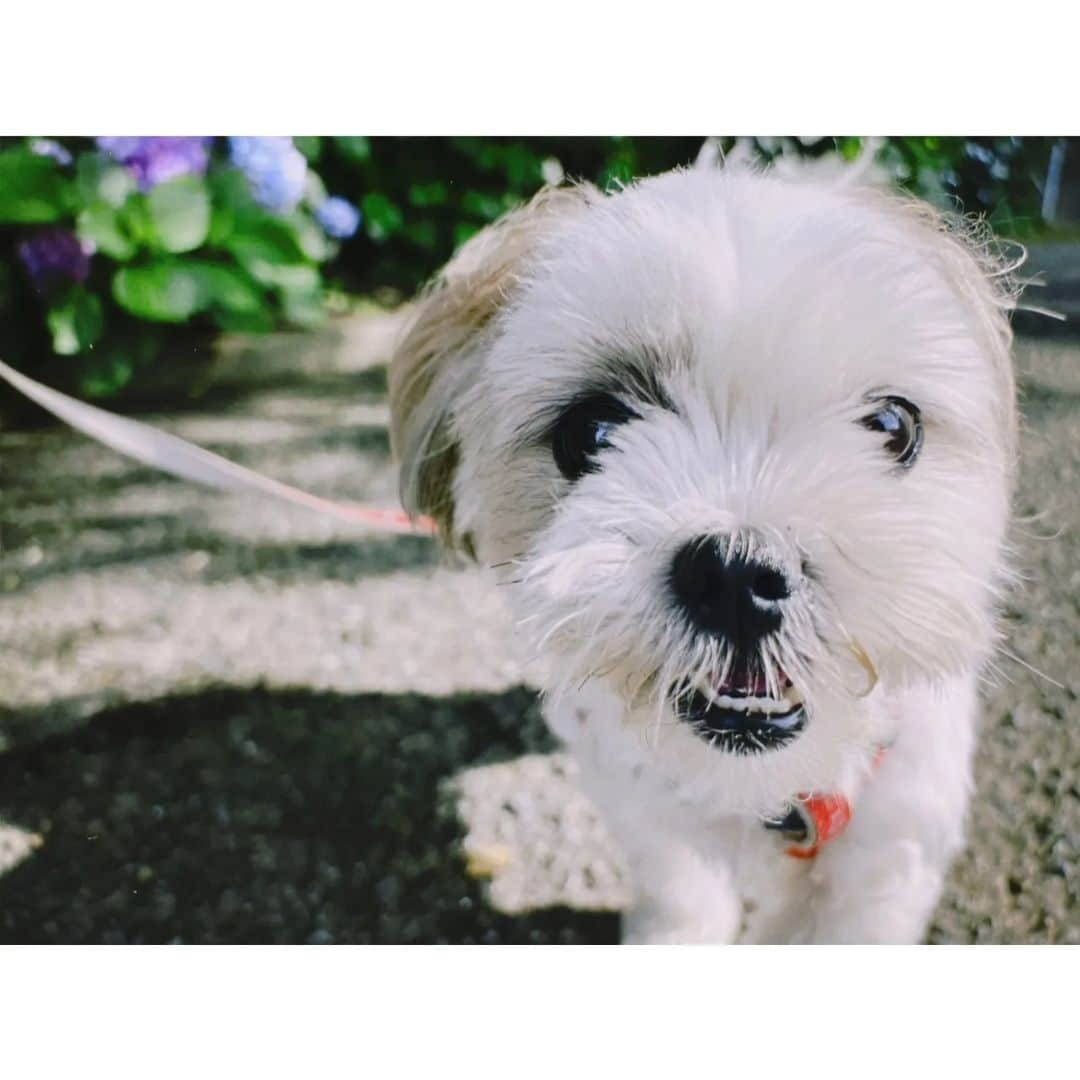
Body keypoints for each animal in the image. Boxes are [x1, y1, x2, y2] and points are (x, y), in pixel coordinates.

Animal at [390, 162, 1019, 946]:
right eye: (590, 431)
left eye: (892, 426)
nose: (738, 574)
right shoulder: (653, 813)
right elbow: (681, 895)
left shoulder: (885, 856)